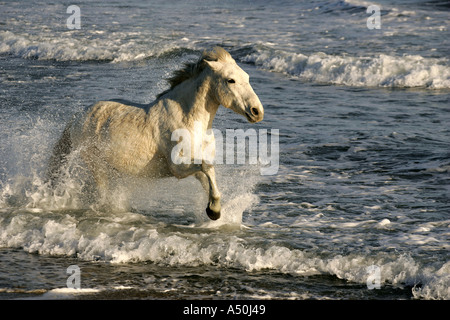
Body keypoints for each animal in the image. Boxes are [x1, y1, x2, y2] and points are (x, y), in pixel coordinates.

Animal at [46, 47, 264, 220]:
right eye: (231, 80)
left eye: (247, 77)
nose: (257, 111)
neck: (188, 121)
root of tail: (78, 118)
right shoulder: (177, 168)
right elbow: (207, 168)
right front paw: (214, 211)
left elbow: (208, 177)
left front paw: (214, 210)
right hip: (95, 165)